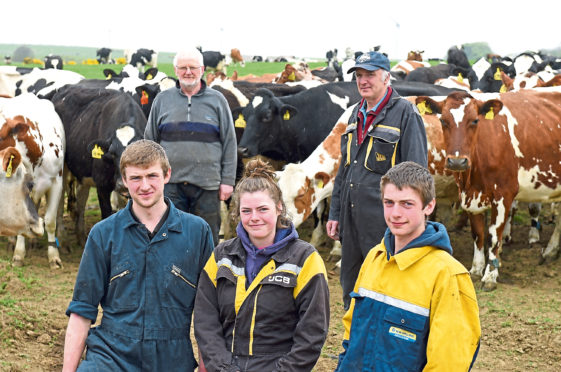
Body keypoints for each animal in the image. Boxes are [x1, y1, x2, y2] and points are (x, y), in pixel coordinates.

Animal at [50, 85, 147, 244]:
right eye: (112, 153)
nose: (122, 185)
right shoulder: (102, 185)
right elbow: (107, 216)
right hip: (62, 167)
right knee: (60, 195)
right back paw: (62, 235)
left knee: (82, 197)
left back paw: (81, 234)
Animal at [416, 89, 560, 290]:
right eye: (443, 120)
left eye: (475, 120)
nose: (457, 162)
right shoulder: (469, 196)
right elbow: (478, 234)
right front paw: (476, 269)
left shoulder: (503, 195)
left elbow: (493, 237)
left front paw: (490, 275)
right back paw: (551, 252)